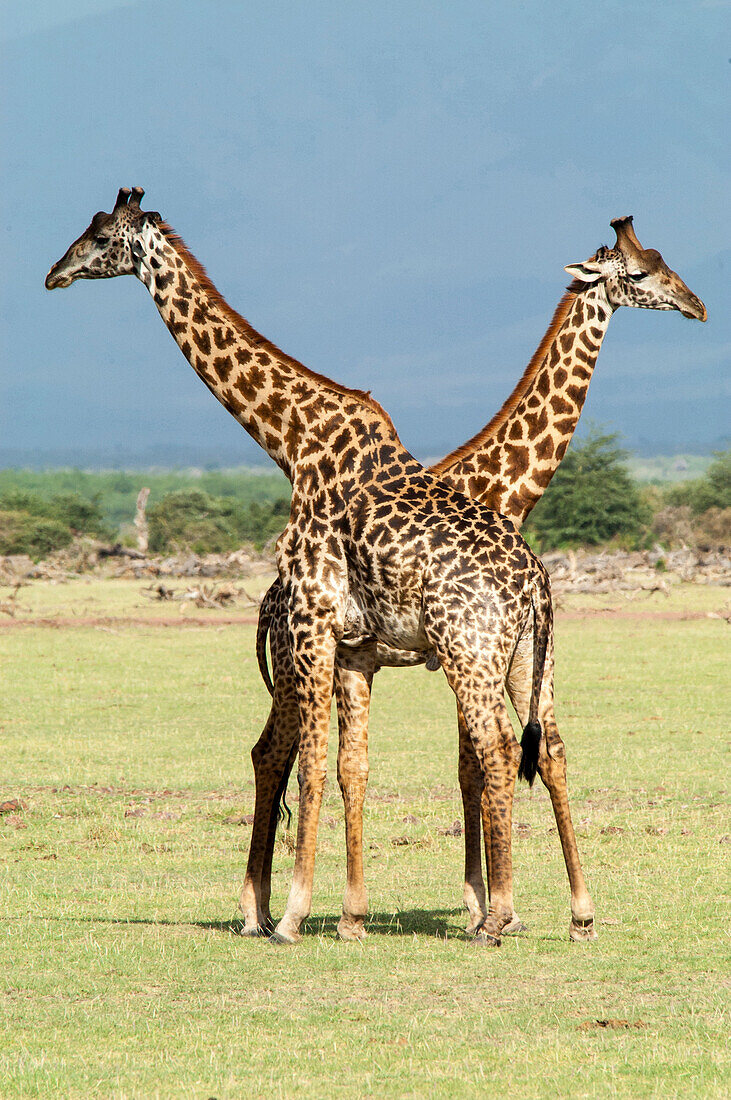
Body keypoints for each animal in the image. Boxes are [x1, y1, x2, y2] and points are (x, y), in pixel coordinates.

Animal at [45, 184, 597, 941]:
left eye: (101, 239)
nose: (54, 273)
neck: (292, 442)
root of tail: (534, 582)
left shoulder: (312, 621)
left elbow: (312, 765)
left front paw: (295, 913)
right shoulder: (351, 645)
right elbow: (343, 763)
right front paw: (339, 914)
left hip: (470, 649)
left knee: (494, 746)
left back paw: (497, 916)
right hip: (522, 656)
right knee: (533, 746)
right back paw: (558, 913)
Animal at [241, 221, 703, 937]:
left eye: (661, 261)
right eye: (641, 272)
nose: (696, 305)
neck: (504, 486)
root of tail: (268, 601)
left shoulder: (499, 652)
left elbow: (511, 757)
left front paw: (506, 903)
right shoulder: (464, 648)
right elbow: (475, 763)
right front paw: (481, 903)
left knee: (288, 752)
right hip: (306, 660)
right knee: (275, 752)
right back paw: (261, 909)